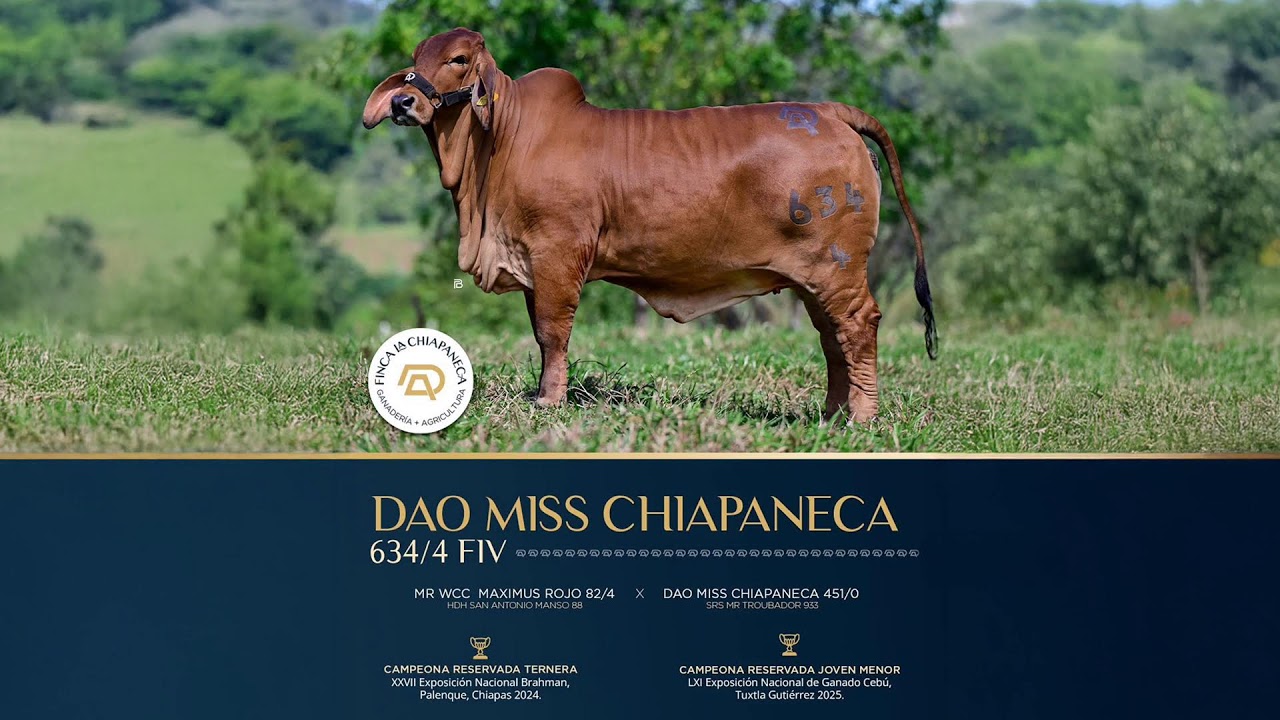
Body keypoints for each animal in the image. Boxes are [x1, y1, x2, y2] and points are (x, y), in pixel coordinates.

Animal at [362, 27, 936, 423]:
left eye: (458, 59)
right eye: (415, 61)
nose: (404, 101)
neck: (499, 143)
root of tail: (829, 111)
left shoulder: (556, 254)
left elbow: (551, 332)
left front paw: (549, 402)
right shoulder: (530, 261)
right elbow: (541, 334)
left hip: (838, 269)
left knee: (858, 327)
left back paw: (861, 417)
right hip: (814, 279)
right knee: (832, 338)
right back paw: (833, 414)